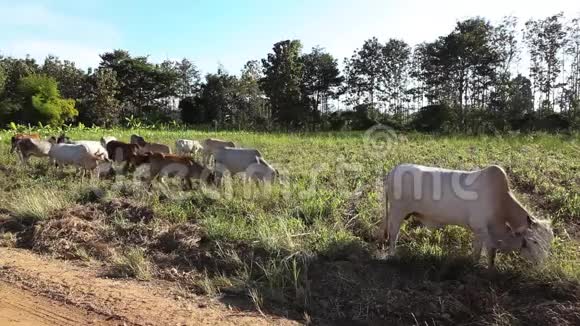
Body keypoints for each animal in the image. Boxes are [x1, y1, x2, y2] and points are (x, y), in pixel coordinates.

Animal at [376, 164, 552, 266]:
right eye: (534, 241)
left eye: (549, 242)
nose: (543, 265)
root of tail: (394, 169)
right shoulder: (481, 229)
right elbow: (483, 253)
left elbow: (488, 253)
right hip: (398, 211)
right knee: (393, 234)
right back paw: (392, 255)